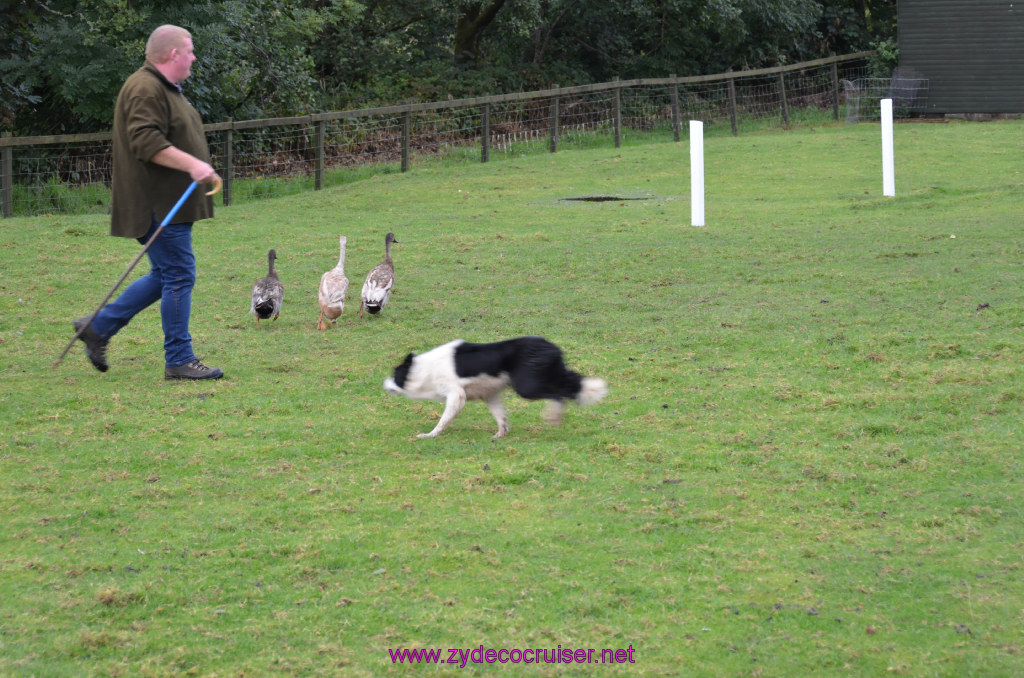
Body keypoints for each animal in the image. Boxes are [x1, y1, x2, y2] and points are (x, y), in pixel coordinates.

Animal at [385, 337, 606, 440]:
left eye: (395, 375)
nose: (383, 383)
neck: (423, 369)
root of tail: (552, 348)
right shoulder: (490, 395)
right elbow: (500, 416)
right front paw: (501, 434)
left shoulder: (456, 395)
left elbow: (443, 420)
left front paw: (430, 435)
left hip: (527, 386)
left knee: (558, 394)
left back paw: (553, 416)